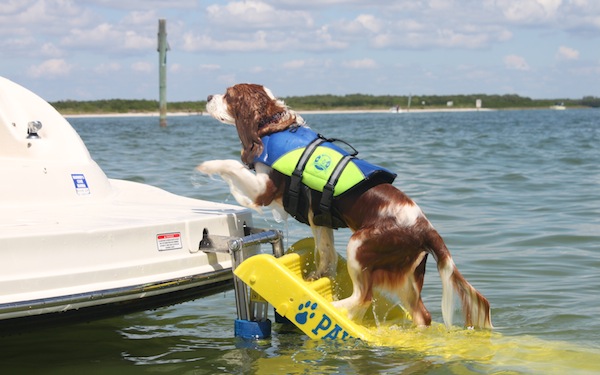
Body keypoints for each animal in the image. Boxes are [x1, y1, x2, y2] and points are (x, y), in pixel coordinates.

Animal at [197, 83, 492, 328]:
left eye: (228, 94)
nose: (208, 96)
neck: (274, 126)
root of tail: (426, 229)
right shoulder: (319, 219)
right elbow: (325, 255)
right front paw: (318, 277)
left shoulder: (264, 189)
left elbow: (231, 165)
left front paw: (206, 166)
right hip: (406, 275)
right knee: (422, 314)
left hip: (360, 246)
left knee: (364, 297)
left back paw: (337, 308)